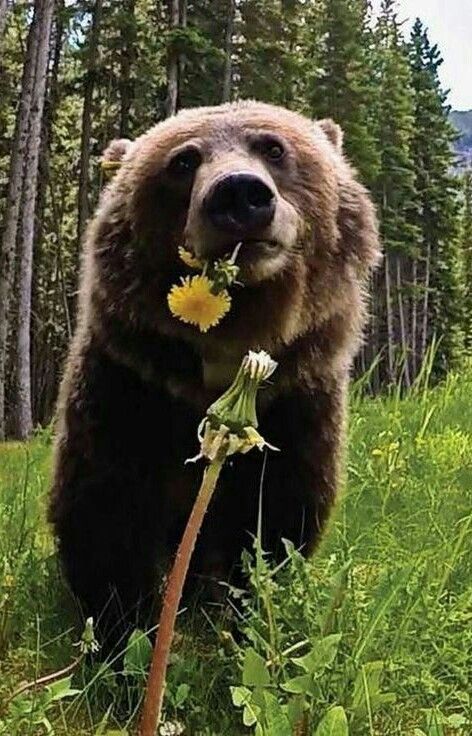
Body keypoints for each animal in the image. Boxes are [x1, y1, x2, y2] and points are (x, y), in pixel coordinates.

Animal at [48, 100, 380, 648]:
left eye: (273, 147)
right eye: (183, 161)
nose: (240, 193)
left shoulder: (297, 400)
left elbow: (277, 516)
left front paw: (248, 615)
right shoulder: (127, 386)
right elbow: (105, 508)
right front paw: (125, 630)